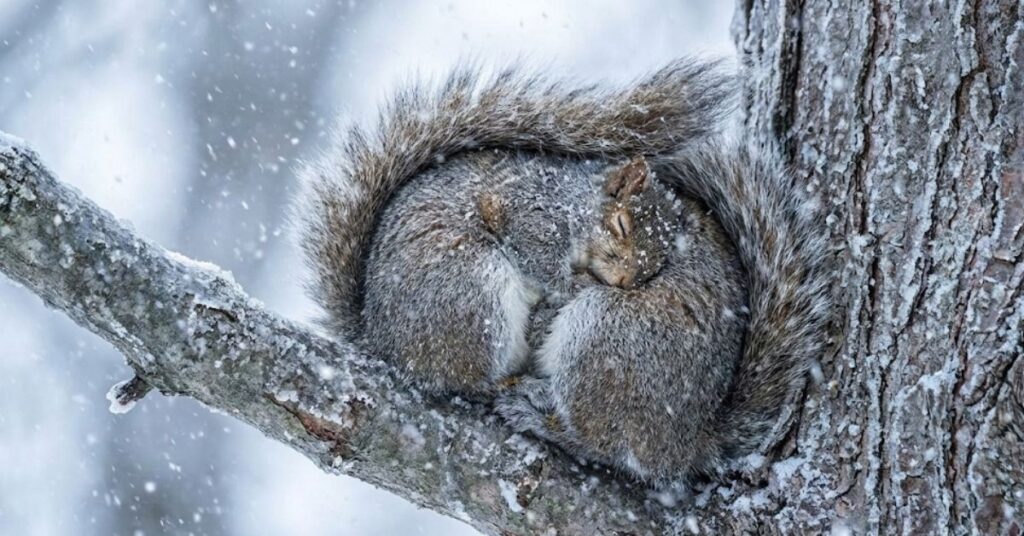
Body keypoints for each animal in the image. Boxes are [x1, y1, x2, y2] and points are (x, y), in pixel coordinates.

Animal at [296, 60, 829, 484]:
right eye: (620, 224)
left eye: (663, 259)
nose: (625, 283)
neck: (578, 208)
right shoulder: (532, 214)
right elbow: (540, 258)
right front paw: (567, 284)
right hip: (484, 293)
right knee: (475, 383)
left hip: (604, 340)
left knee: (601, 443)